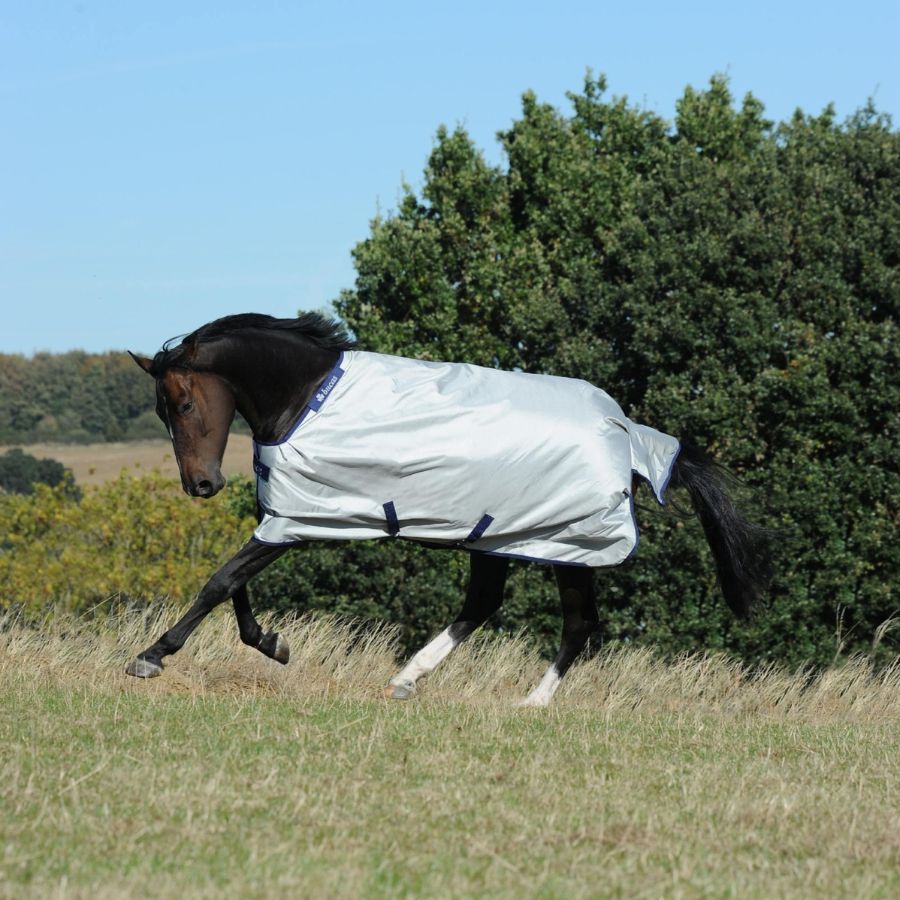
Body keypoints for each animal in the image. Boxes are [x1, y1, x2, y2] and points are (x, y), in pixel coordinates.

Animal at [126, 312, 770, 706]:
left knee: (577, 623)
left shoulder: (298, 521)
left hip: (567, 546)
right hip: (497, 540)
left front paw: (151, 657)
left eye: (183, 403)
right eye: (163, 410)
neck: (307, 397)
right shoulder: (288, 516)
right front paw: (273, 644)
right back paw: (408, 678)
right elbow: (235, 586)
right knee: (486, 605)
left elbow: (220, 581)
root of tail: (627, 433)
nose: (201, 484)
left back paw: (532, 701)